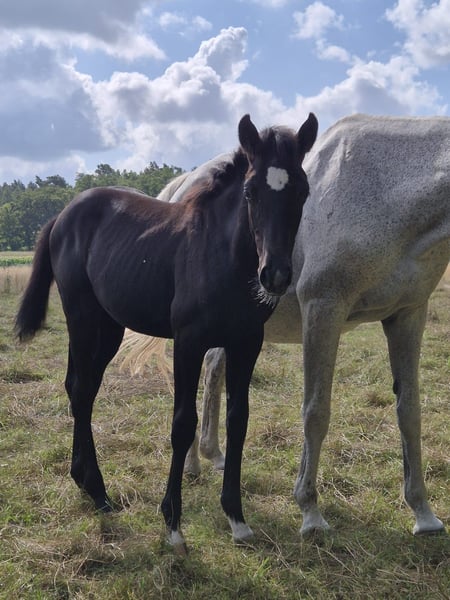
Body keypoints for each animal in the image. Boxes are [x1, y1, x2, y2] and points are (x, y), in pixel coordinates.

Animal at [15, 112, 319, 552]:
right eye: (250, 190)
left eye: (303, 190)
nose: (275, 275)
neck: (220, 256)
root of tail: (63, 215)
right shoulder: (188, 343)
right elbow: (182, 422)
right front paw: (173, 523)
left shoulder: (247, 343)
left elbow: (239, 420)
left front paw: (236, 518)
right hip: (82, 317)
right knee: (82, 390)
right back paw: (99, 491)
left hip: (108, 327)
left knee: (79, 387)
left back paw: (89, 486)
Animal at [121, 114, 449, 537]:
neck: (387, 186)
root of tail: (182, 188)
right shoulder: (323, 310)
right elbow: (316, 412)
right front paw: (310, 512)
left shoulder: (407, 314)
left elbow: (409, 412)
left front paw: (423, 513)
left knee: (212, 370)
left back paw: (204, 458)